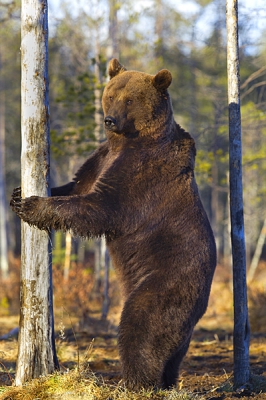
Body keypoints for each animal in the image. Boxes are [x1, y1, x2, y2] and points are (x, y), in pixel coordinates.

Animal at [11, 58, 217, 390]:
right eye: (111, 95)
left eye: (130, 100)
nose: (109, 120)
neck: (129, 140)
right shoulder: (103, 158)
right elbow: (78, 185)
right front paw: (18, 193)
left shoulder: (141, 174)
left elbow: (100, 207)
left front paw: (32, 205)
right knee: (174, 349)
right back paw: (167, 379)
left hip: (168, 279)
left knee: (141, 325)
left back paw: (136, 381)